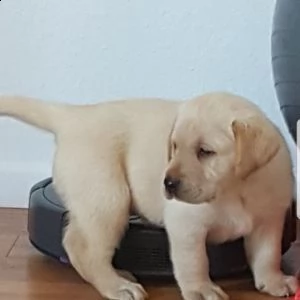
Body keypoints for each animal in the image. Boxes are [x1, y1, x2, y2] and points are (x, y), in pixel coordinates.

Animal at [0, 92, 296, 300]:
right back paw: (117, 286)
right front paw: (200, 289)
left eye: (205, 151)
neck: (235, 189)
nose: (168, 183)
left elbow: (268, 254)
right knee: (82, 247)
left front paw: (274, 281)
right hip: (108, 196)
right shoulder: (187, 224)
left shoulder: (270, 220)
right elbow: (195, 261)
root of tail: (75, 117)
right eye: (174, 146)